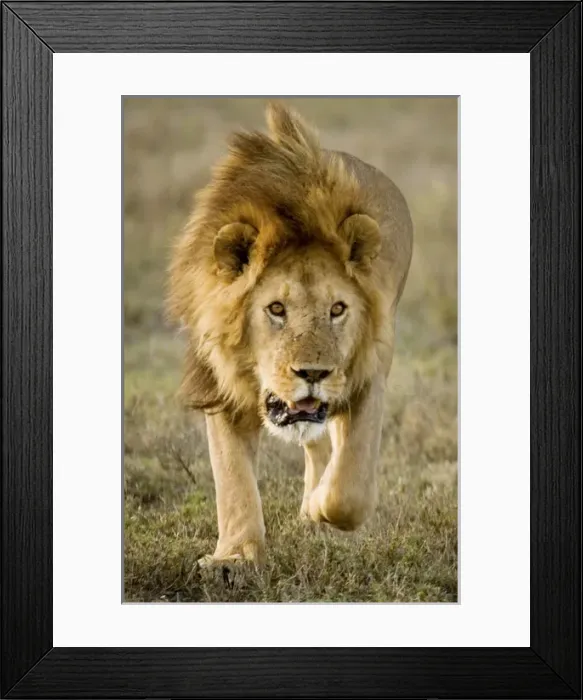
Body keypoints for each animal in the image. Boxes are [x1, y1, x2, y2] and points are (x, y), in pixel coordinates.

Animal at [167, 102, 413, 566]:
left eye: (337, 309)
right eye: (276, 309)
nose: (313, 374)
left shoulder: (368, 373)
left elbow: (350, 491)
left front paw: (320, 507)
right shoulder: (219, 385)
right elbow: (232, 477)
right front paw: (236, 557)